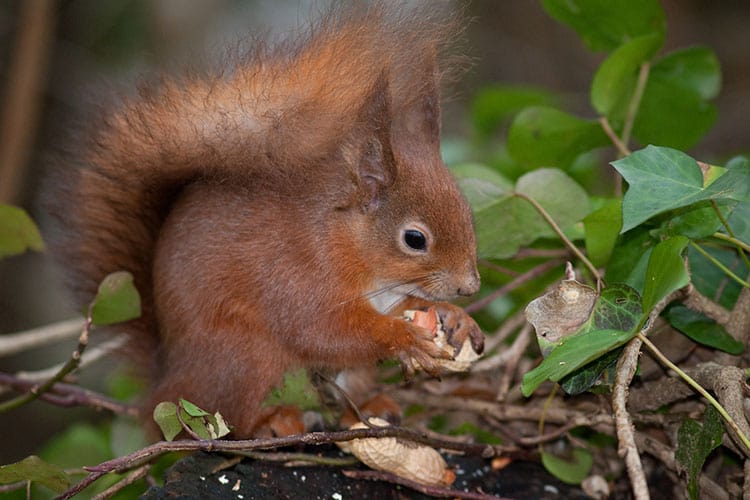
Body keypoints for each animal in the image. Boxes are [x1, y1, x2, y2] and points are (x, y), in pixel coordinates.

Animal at [46, 2, 483, 437]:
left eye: (467, 212)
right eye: (415, 239)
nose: (470, 286)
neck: (352, 248)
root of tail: (164, 385)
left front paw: (454, 318)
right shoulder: (298, 274)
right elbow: (321, 330)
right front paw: (402, 336)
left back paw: (370, 408)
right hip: (246, 358)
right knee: (235, 417)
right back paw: (275, 421)